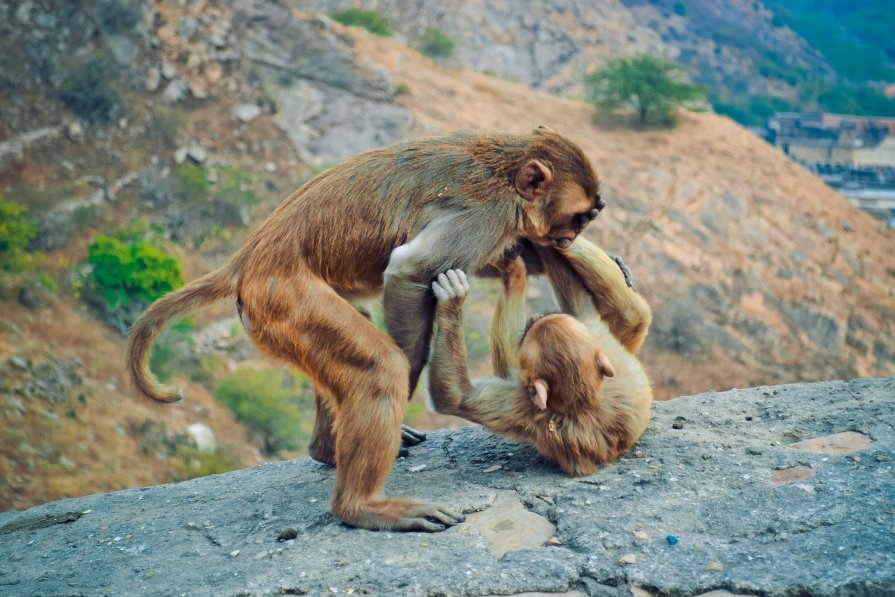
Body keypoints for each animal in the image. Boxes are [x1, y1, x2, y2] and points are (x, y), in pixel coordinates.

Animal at [126, 128, 604, 528]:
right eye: (579, 217)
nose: (567, 240)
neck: (506, 176)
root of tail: (247, 259)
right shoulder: (484, 217)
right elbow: (409, 272)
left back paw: (325, 451)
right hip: (283, 299)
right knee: (377, 368)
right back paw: (360, 507)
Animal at [428, 237, 652, 474]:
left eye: (531, 334)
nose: (535, 318)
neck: (585, 399)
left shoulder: (524, 405)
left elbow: (455, 397)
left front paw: (453, 302)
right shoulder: (597, 338)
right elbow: (584, 304)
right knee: (632, 314)